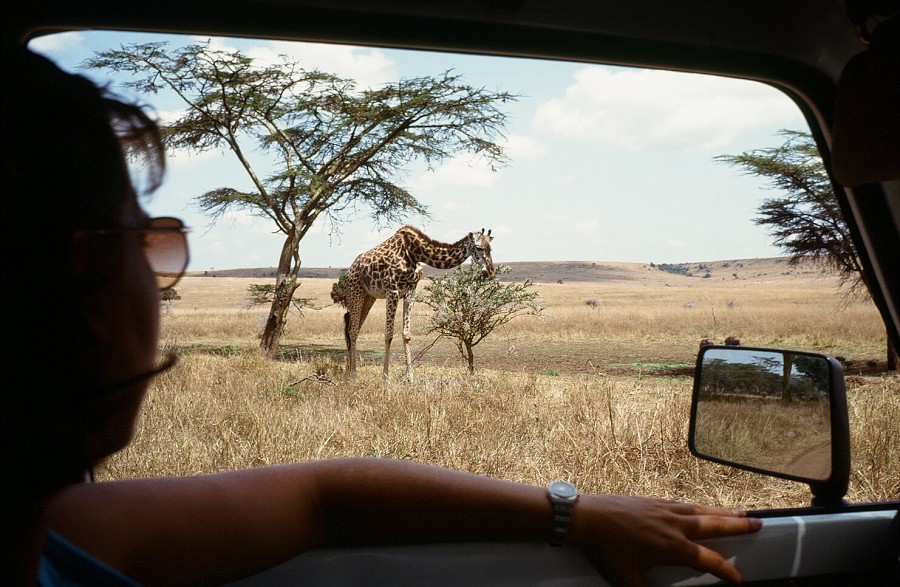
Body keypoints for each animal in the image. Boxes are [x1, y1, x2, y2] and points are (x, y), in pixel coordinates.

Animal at [332, 225, 500, 382]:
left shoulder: (410, 291)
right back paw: (353, 374)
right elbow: (388, 334)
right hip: (355, 293)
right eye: (478, 247)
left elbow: (406, 334)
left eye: (490, 248)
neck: (415, 253)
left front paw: (410, 377)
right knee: (353, 331)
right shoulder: (392, 290)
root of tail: (349, 272)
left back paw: (347, 371)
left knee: (352, 328)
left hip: (369, 297)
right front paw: (385, 376)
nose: (490, 271)